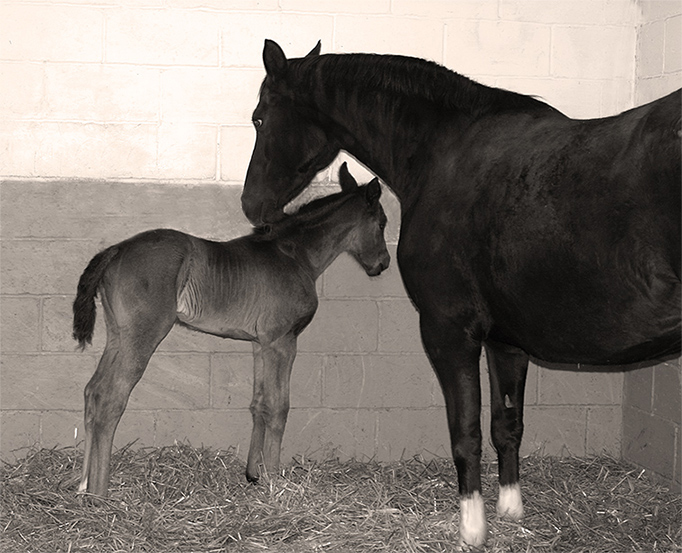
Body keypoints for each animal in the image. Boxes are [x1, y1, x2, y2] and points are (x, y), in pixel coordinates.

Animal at [73, 165, 388, 496]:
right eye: (381, 223)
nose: (382, 263)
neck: (295, 255)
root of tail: (116, 249)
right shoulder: (283, 341)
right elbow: (279, 407)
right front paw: (275, 481)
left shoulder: (261, 344)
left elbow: (259, 403)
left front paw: (254, 475)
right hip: (142, 337)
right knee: (110, 398)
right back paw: (98, 493)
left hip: (117, 337)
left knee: (92, 391)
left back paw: (82, 485)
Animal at [242, 40, 676, 548]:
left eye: (260, 118)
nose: (251, 205)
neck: (444, 151)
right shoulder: (506, 341)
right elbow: (506, 425)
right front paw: (511, 511)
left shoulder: (449, 331)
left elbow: (465, 432)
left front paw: (472, 527)